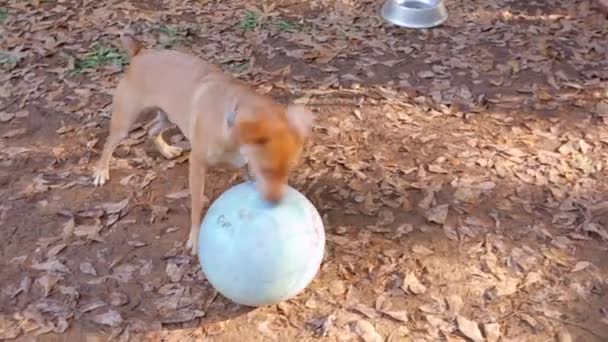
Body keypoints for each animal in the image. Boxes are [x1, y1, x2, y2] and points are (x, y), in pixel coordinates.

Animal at [95, 34, 316, 254]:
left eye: (288, 170)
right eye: (266, 169)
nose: (276, 202)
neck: (229, 121)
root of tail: (140, 52)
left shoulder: (246, 167)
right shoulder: (198, 165)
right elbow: (197, 205)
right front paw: (195, 237)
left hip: (168, 117)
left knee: (151, 130)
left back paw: (166, 150)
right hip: (125, 123)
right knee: (108, 144)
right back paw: (101, 171)